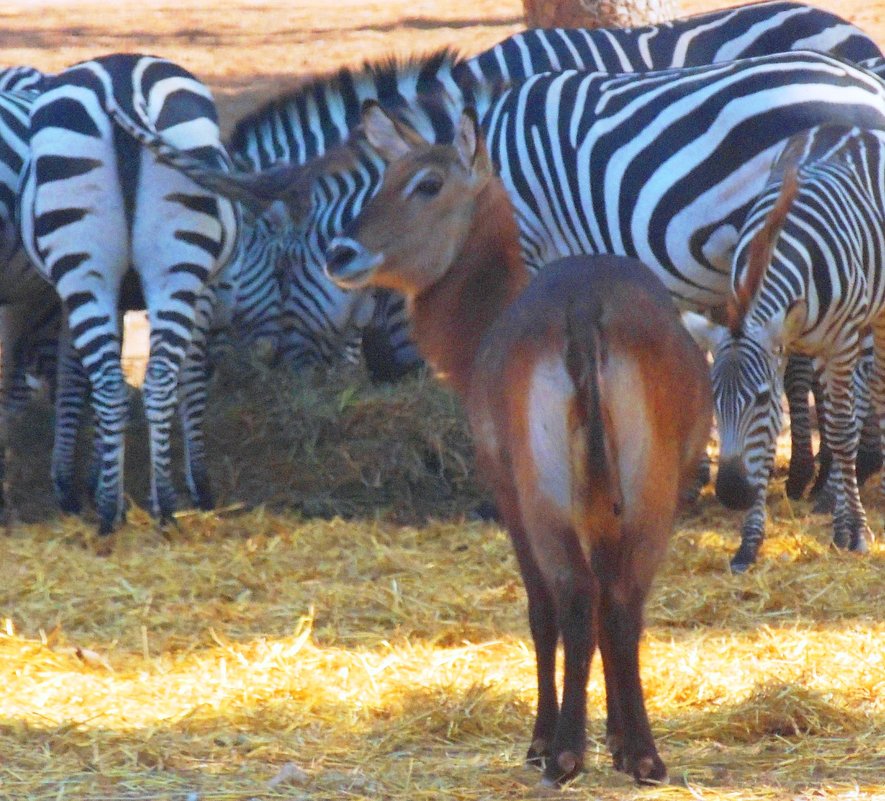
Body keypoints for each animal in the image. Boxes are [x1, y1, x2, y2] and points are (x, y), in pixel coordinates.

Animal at [20, 53, 240, 536]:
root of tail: (121, 76)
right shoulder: (204, 291)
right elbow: (190, 379)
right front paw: (198, 486)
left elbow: (74, 378)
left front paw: (85, 484)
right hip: (175, 270)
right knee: (155, 379)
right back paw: (165, 509)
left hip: (87, 269)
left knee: (114, 383)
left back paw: (112, 512)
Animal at [324, 101, 712, 788]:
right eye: (383, 176)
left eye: (426, 182)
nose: (341, 253)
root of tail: (585, 308)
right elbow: (611, 611)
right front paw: (616, 739)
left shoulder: (504, 489)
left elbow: (543, 611)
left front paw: (545, 741)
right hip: (650, 493)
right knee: (623, 601)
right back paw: (643, 755)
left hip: (544, 496)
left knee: (571, 599)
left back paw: (561, 754)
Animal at [692, 122, 884, 564]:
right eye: (713, 399)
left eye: (763, 398)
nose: (730, 492)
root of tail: (855, 126)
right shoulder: (778, 348)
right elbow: (764, 448)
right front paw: (749, 542)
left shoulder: (842, 342)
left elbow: (842, 433)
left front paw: (855, 531)